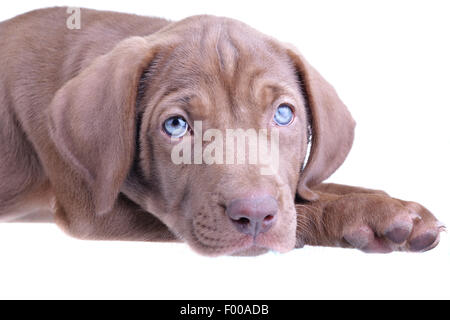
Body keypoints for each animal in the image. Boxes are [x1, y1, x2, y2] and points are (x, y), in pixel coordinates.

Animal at [0, 7, 442, 255]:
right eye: (176, 125)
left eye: (284, 115)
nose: (255, 215)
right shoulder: (97, 213)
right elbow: (303, 209)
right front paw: (365, 216)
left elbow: (308, 190)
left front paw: (392, 206)